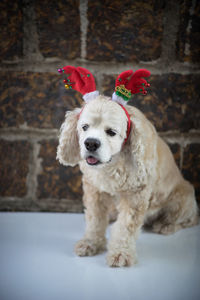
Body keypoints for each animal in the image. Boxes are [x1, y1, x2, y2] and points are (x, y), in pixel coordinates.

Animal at [56, 67, 198, 268]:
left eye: (111, 132)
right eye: (84, 127)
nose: (91, 143)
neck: (112, 164)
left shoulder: (136, 195)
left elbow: (125, 227)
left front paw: (120, 253)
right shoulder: (94, 190)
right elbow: (95, 220)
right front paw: (91, 243)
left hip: (182, 198)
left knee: (189, 220)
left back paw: (165, 226)